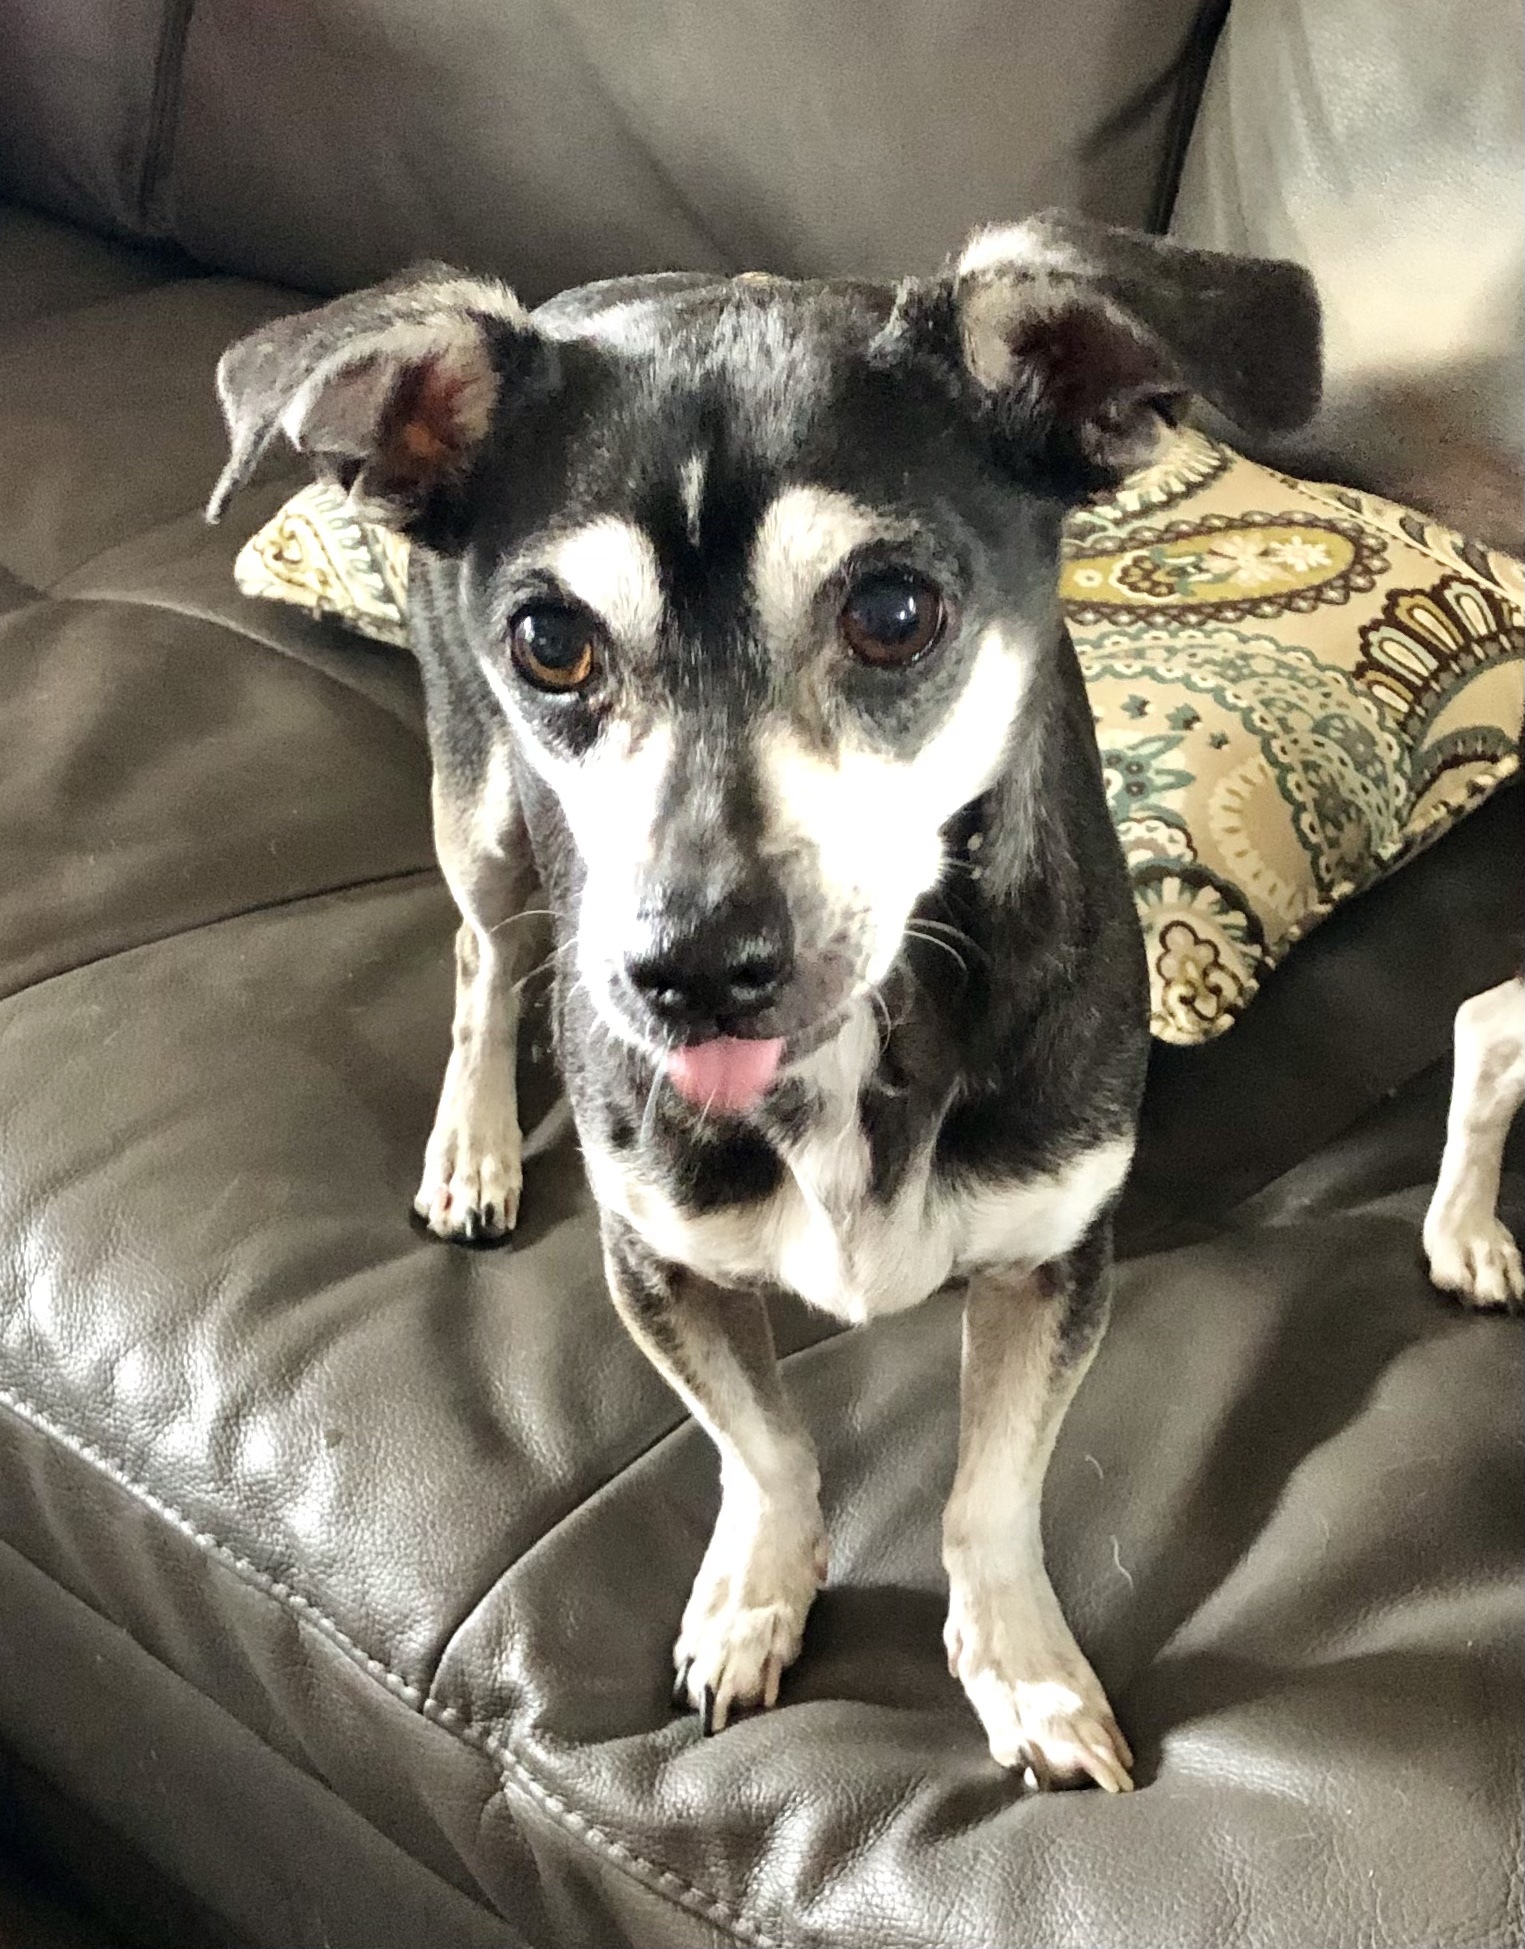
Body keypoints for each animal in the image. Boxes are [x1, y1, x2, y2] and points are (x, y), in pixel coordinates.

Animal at [211, 221, 1326, 1785]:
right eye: (549, 638)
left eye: (893, 611)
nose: (687, 968)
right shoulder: (657, 1261)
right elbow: (765, 1448)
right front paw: (753, 1594)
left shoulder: (1057, 1256)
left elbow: (989, 1494)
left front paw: (1025, 1673)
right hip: (479, 800)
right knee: (483, 958)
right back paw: (475, 1144)